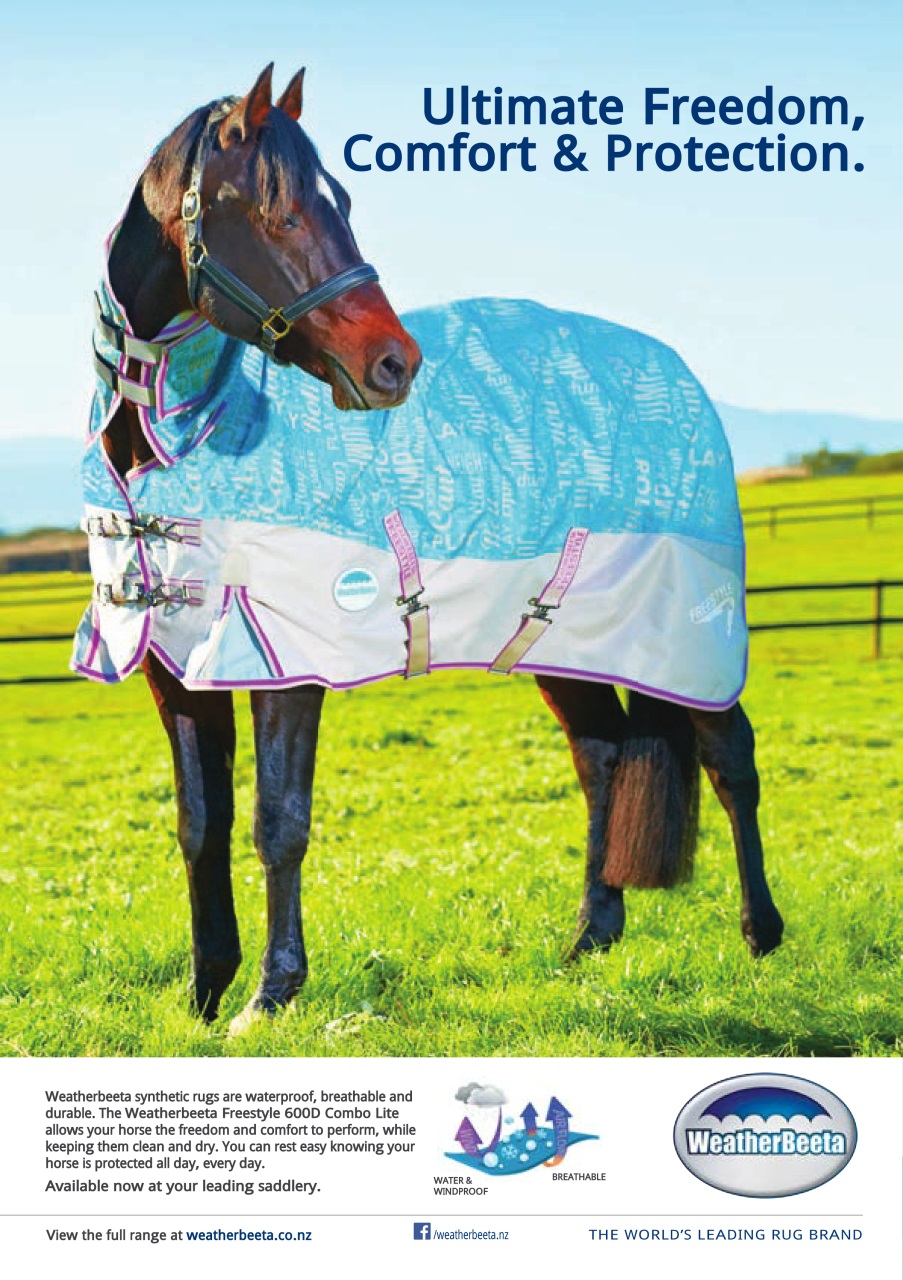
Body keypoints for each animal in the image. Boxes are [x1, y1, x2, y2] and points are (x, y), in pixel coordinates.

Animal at [90, 64, 783, 1034]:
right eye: (274, 210)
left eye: (340, 201)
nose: (393, 364)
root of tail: (674, 381)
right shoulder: (174, 667)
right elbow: (200, 825)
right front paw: (202, 994)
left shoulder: (285, 665)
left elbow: (278, 820)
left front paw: (270, 994)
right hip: (559, 636)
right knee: (603, 756)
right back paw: (589, 938)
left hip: (685, 628)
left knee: (728, 757)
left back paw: (761, 935)